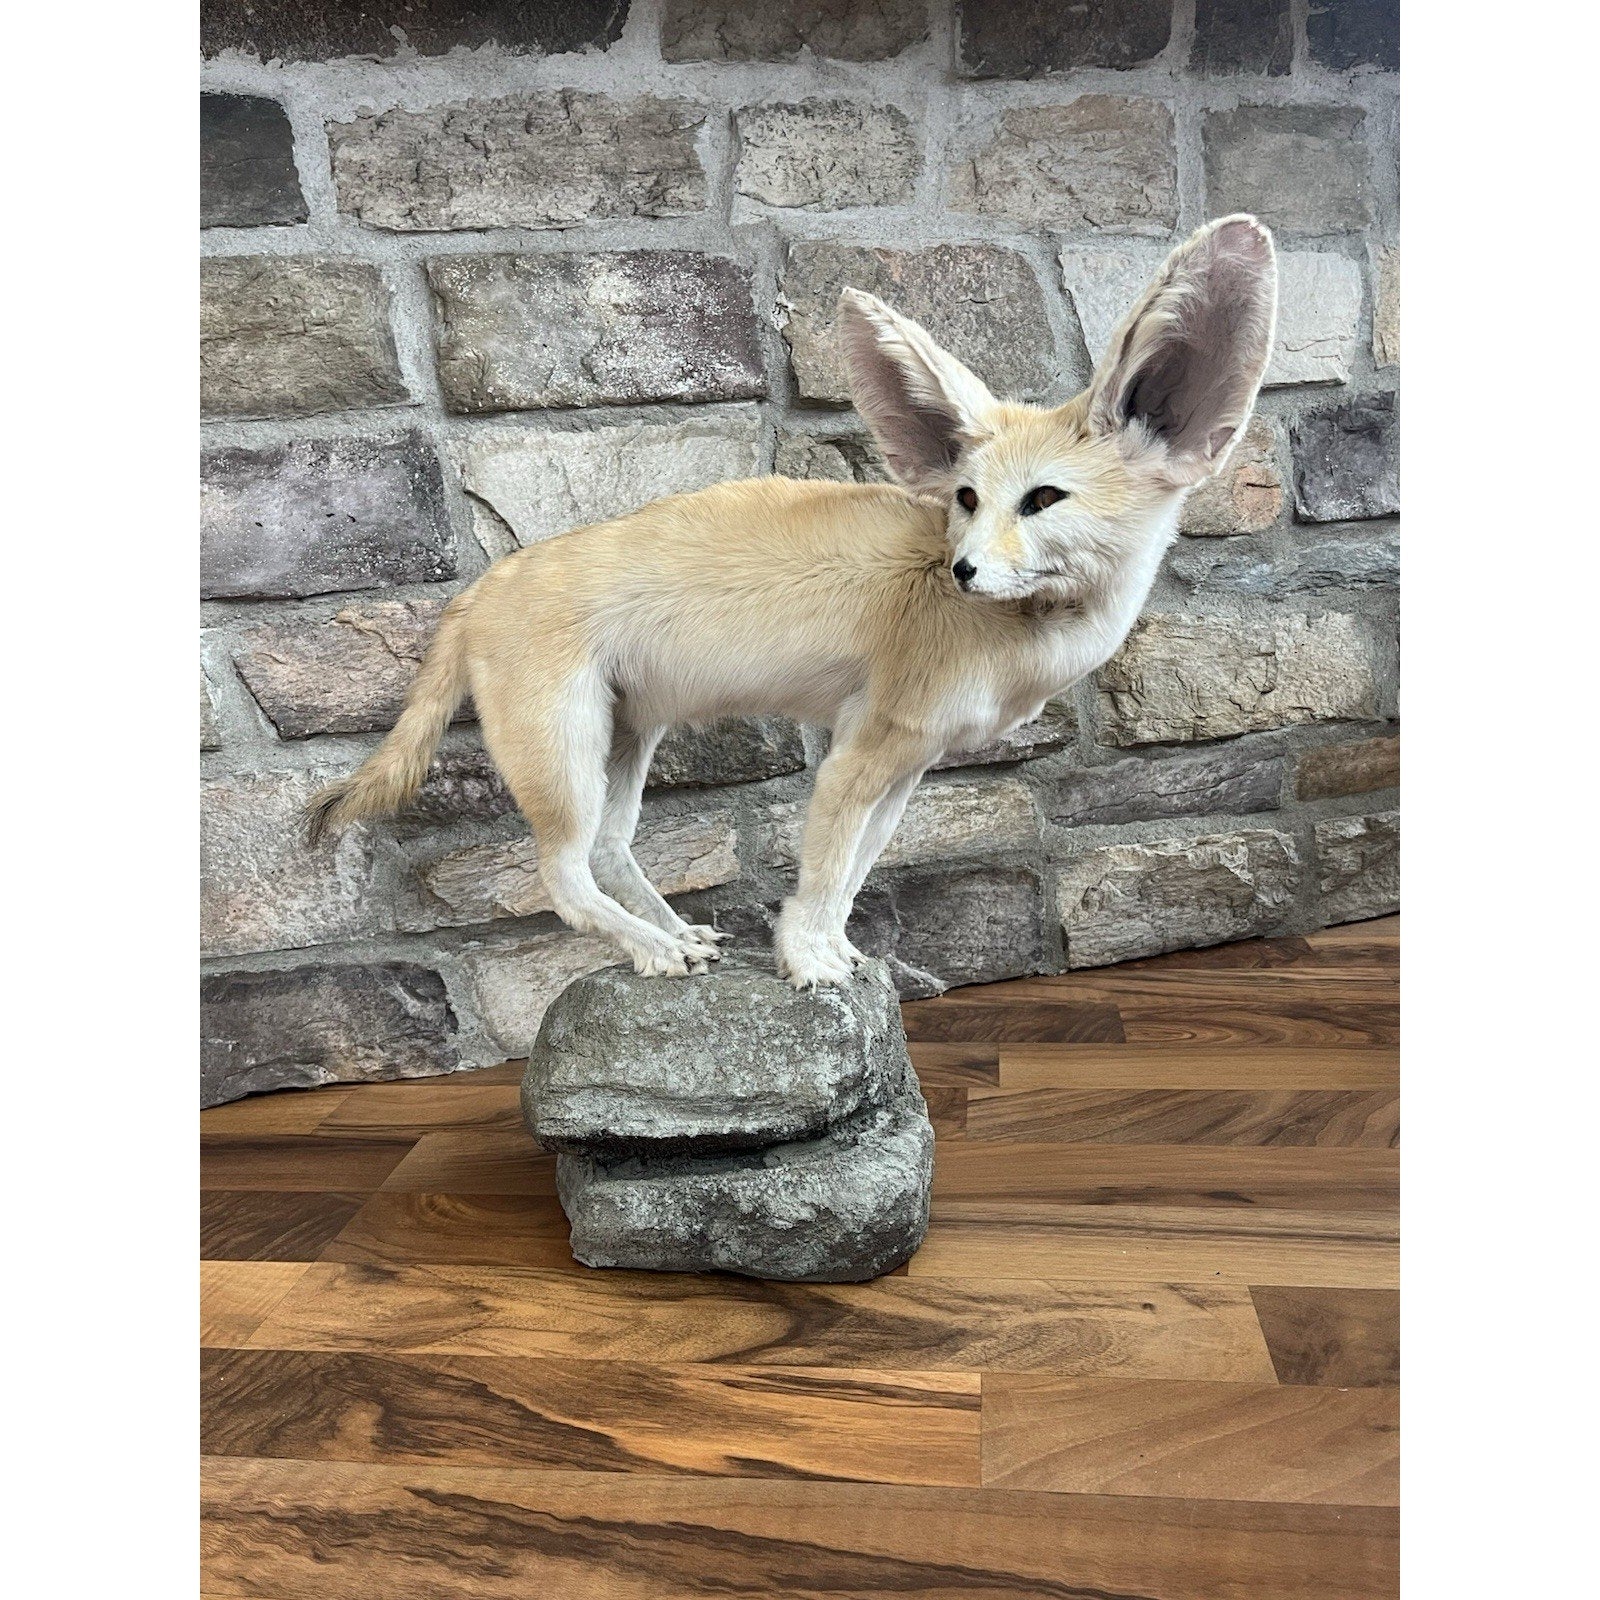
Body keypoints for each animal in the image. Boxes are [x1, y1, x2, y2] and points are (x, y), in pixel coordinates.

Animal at [306, 215, 1279, 990]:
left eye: (1041, 500)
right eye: (967, 499)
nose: (961, 570)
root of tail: (477, 590)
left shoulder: (906, 766)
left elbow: (850, 879)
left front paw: (837, 953)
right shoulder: (858, 758)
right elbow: (820, 879)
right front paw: (808, 963)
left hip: (626, 738)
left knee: (611, 853)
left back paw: (673, 931)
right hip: (566, 755)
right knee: (563, 877)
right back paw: (654, 950)